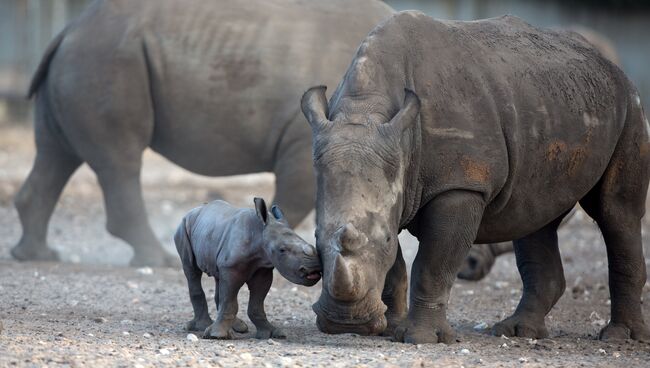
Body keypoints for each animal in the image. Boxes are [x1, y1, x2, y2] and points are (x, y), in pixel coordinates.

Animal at [12, 0, 392, 266]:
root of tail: (69, 29)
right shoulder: (308, 140)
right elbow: (296, 201)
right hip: (106, 59)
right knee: (119, 161)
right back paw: (158, 261)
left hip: (83, 59)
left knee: (56, 154)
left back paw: (36, 255)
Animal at [175, 198, 318, 340]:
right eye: (282, 250)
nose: (315, 268)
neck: (260, 232)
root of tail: (192, 211)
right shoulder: (231, 268)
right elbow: (230, 302)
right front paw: (217, 335)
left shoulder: (263, 269)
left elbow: (256, 304)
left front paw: (272, 333)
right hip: (183, 228)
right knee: (191, 270)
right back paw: (204, 326)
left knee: (218, 277)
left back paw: (239, 327)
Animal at [302, 12, 644, 344]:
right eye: (315, 237)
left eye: (385, 238)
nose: (345, 323)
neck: (365, 110)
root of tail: (608, 62)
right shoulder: (390, 178)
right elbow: (396, 266)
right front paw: (389, 328)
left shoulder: (461, 185)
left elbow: (432, 264)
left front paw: (420, 338)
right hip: (551, 101)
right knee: (536, 217)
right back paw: (518, 331)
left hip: (629, 103)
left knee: (617, 213)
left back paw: (619, 338)